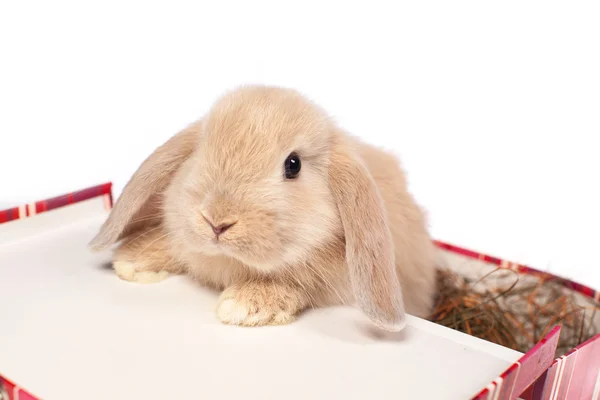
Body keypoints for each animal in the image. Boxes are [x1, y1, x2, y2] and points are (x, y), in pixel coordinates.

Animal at [89, 85, 436, 332]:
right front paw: (132, 260)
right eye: (199, 152)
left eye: (293, 165)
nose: (217, 222)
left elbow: (295, 284)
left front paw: (244, 306)